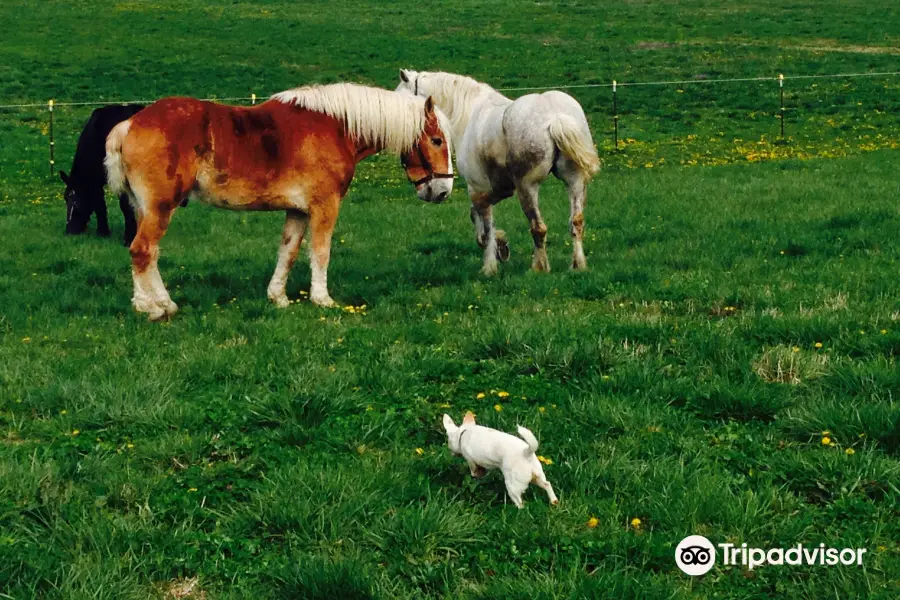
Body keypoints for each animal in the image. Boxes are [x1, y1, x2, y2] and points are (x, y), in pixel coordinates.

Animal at [60, 103, 145, 244]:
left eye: (76, 201)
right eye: (65, 198)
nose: (70, 230)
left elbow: (124, 205)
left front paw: (128, 238)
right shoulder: (96, 181)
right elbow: (100, 204)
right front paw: (103, 232)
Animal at [105, 84, 454, 322]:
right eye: (436, 140)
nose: (443, 190)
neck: (337, 127)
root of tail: (129, 124)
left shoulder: (297, 210)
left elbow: (288, 251)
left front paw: (278, 297)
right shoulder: (325, 206)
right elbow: (321, 252)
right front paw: (322, 298)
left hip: (145, 209)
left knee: (148, 254)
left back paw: (160, 302)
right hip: (160, 208)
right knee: (142, 251)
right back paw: (151, 308)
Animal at [396, 69, 596, 274]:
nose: (433, 194)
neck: (469, 115)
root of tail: (555, 117)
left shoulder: (478, 189)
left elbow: (486, 227)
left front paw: (489, 266)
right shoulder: (500, 189)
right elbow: (477, 217)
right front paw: (501, 247)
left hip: (528, 188)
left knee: (538, 227)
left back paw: (539, 268)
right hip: (574, 181)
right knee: (576, 221)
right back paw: (577, 265)